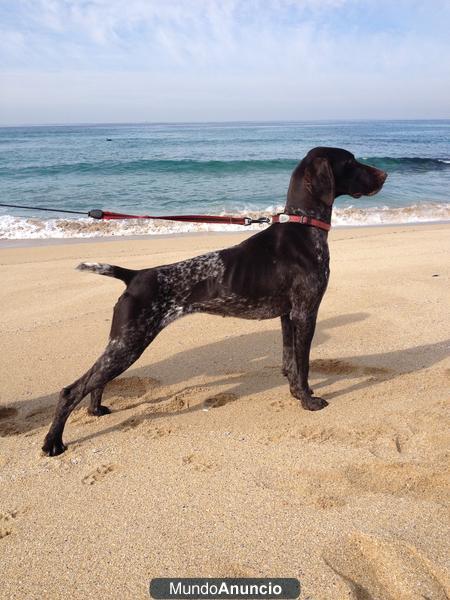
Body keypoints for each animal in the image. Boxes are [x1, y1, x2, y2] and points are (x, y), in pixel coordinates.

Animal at [43, 146, 386, 454]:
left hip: (121, 344)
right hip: (129, 343)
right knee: (70, 390)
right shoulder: (305, 312)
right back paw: (53, 443)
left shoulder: (288, 316)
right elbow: (301, 366)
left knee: (95, 381)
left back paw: (95, 410)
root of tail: (135, 275)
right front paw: (308, 400)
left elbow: (290, 362)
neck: (303, 226)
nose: (384, 174)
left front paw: (296, 393)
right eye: (351, 162)